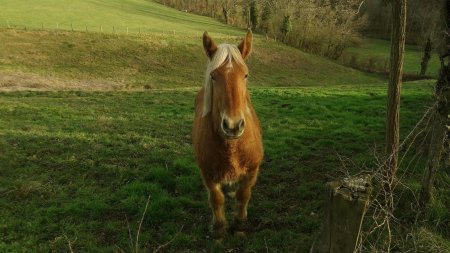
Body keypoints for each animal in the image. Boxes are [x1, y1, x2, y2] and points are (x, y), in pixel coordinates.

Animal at [191, 30, 264, 239]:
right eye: (214, 76)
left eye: (245, 75)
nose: (233, 126)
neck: (232, 148)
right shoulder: (207, 173)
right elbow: (216, 198)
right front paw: (219, 228)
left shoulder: (252, 170)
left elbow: (244, 195)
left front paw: (239, 224)